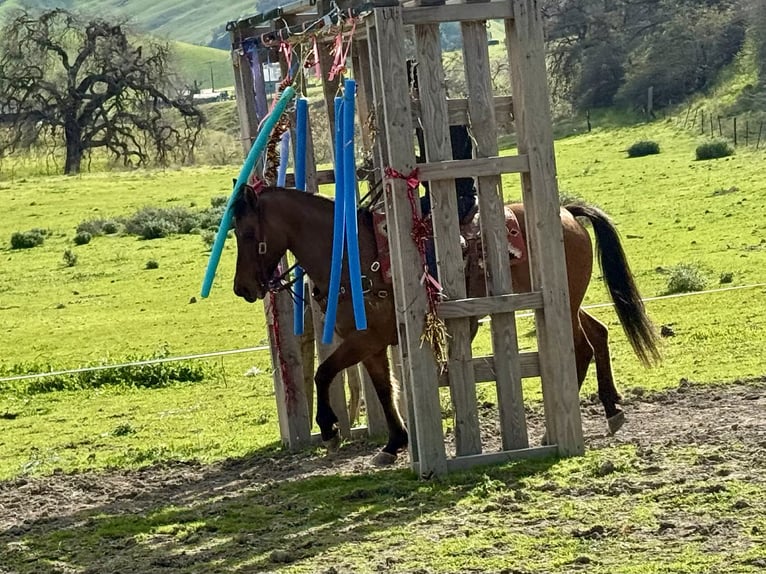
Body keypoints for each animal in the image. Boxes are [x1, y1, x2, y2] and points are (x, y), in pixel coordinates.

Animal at [232, 185, 660, 464]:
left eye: (247, 232)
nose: (242, 288)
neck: (352, 258)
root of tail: (567, 212)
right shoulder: (369, 343)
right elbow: (383, 390)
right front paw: (394, 443)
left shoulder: (365, 338)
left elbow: (323, 373)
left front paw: (329, 429)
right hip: (571, 302)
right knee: (599, 334)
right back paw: (611, 407)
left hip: (562, 304)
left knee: (581, 346)